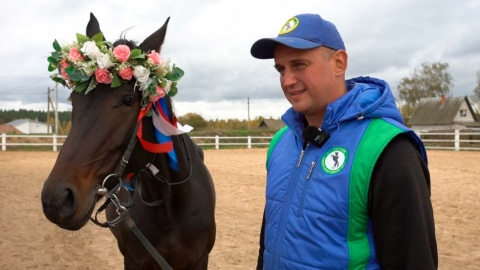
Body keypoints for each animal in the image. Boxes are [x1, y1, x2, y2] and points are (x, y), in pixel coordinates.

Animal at [40, 13, 217, 268]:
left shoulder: (199, 260)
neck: (169, 208)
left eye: (127, 100)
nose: (57, 200)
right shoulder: (133, 260)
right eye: (74, 98)